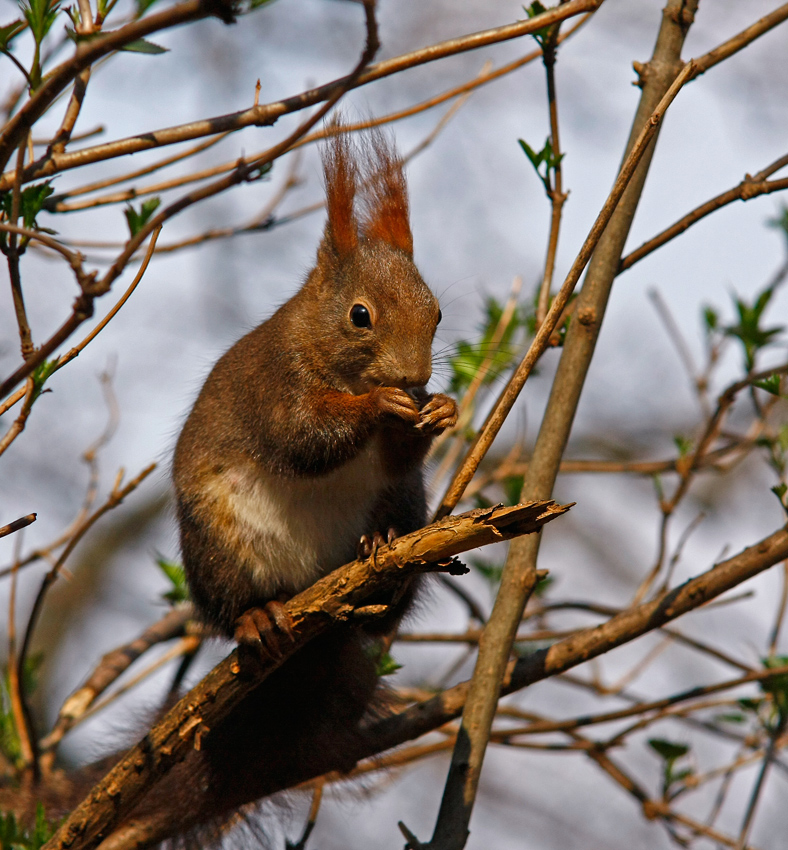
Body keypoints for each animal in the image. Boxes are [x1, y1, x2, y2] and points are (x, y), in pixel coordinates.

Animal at [0, 127, 456, 848]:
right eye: (360, 315)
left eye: (437, 312)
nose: (413, 379)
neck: (326, 355)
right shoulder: (273, 385)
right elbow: (304, 438)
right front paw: (377, 408)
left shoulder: (395, 462)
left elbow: (395, 456)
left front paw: (439, 412)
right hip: (219, 545)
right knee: (234, 605)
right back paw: (258, 616)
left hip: (407, 505)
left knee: (384, 614)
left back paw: (384, 552)